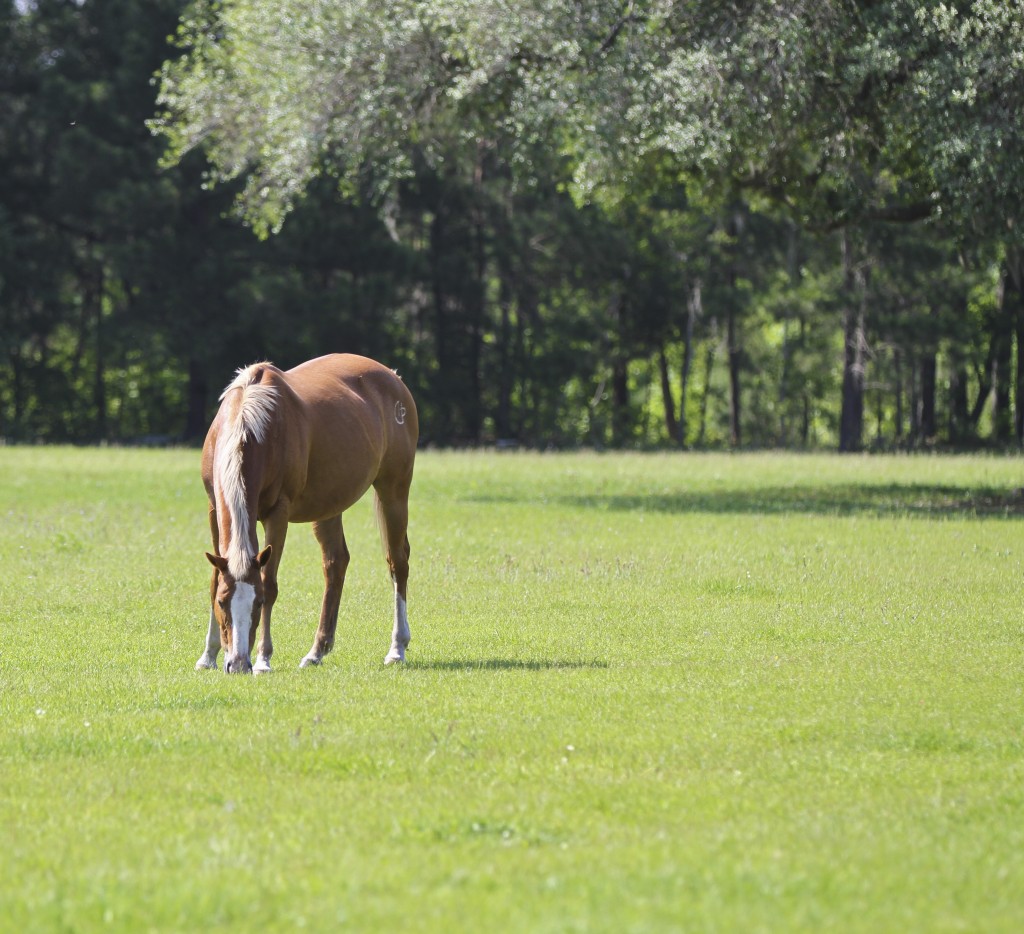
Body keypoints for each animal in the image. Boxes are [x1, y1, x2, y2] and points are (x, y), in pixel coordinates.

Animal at [193, 354, 417, 675]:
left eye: (258, 603)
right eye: (223, 602)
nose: (237, 663)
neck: (250, 421)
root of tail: (393, 378)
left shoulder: (278, 513)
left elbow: (270, 582)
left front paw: (263, 659)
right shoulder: (213, 508)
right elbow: (213, 579)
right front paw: (208, 656)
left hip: (394, 490)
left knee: (397, 562)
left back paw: (397, 648)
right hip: (329, 505)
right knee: (336, 563)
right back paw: (316, 652)